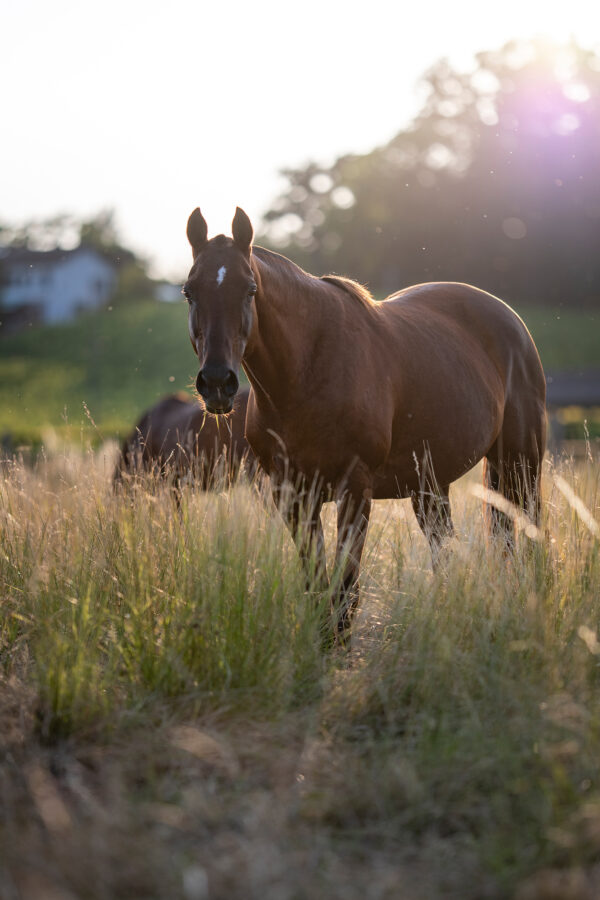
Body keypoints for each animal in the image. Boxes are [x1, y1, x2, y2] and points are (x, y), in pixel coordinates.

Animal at [184, 208, 548, 636]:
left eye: (250, 289)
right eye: (189, 291)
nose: (217, 383)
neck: (307, 370)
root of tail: (510, 319)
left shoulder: (355, 489)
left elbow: (345, 592)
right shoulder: (292, 495)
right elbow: (316, 585)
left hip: (520, 464)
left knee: (525, 533)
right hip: (431, 484)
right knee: (446, 549)